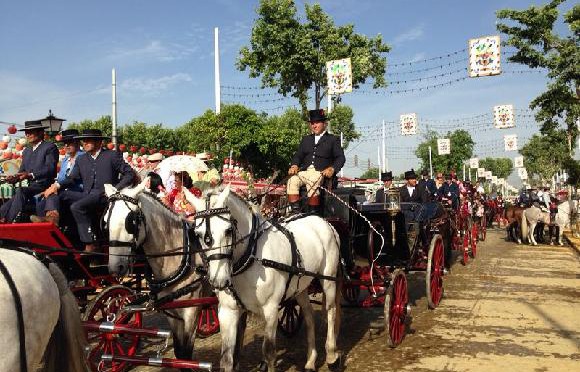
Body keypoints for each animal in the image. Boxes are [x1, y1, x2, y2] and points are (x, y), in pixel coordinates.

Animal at [103, 180, 210, 364]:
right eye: (105, 222)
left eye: (130, 221)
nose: (115, 267)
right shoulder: (172, 313)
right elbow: (180, 353)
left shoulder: (191, 312)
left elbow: (186, 354)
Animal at [190, 186, 342, 372]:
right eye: (197, 234)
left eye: (228, 230)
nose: (219, 281)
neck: (251, 257)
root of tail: (323, 221)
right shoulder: (227, 311)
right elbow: (226, 358)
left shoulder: (271, 309)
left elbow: (269, 352)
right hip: (300, 286)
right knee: (309, 315)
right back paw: (311, 361)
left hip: (329, 279)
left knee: (330, 311)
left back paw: (332, 355)